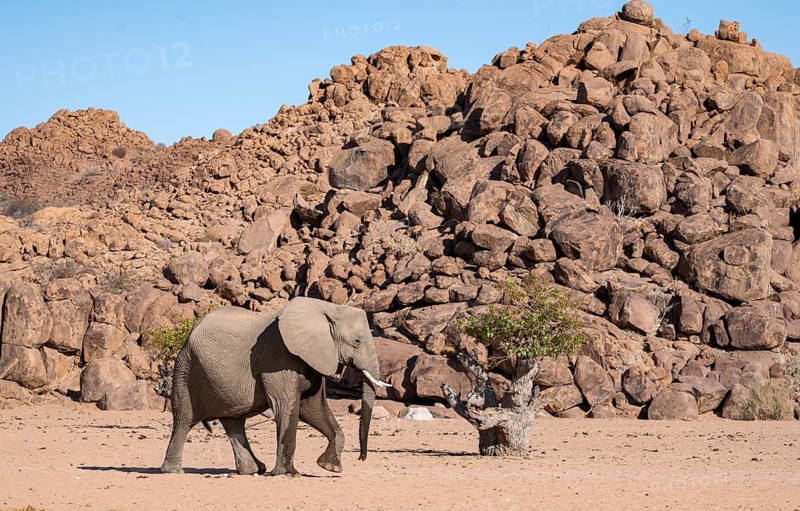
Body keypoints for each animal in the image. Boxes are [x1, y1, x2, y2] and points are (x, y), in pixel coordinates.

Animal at [159, 297, 390, 476]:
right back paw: (173, 471)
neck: (327, 308)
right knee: (184, 419)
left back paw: (253, 470)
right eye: (357, 342)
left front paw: (329, 467)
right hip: (187, 368)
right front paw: (288, 474)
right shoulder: (278, 358)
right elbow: (287, 407)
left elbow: (313, 408)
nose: (361, 458)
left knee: (234, 421)